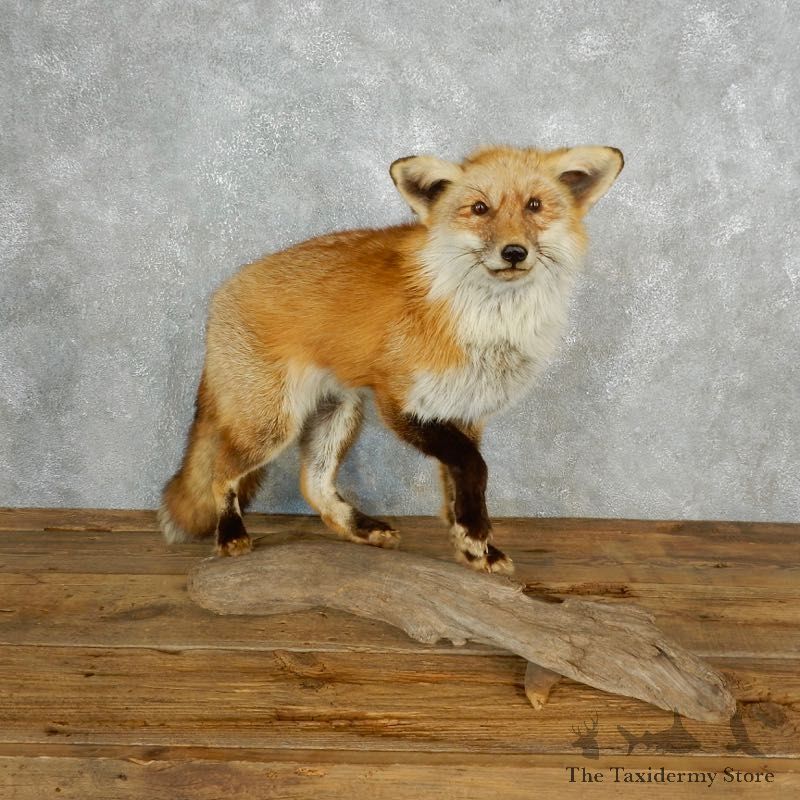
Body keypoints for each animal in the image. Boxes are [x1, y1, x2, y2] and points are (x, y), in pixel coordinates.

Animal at [159, 144, 623, 573]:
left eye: (534, 206)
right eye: (479, 208)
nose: (514, 252)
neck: (487, 324)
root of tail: (223, 291)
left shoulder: (465, 411)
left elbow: (460, 486)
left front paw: (473, 546)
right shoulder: (399, 401)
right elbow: (474, 467)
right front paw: (476, 536)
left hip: (338, 413)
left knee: (314, 484)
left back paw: (361, 529)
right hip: (271, 425)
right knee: (222, 472)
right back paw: (230, 534)